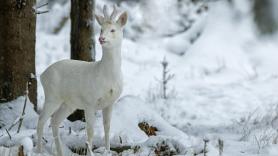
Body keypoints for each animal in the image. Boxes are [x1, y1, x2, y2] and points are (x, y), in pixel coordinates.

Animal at [36, 5, 127, 156]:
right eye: (101, 29)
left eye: (113, 30)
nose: (101, 38)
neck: (107, 76)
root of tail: (42, 75)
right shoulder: (90, 101)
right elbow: (90, 132)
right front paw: (90, 153)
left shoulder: (110, 102)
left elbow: (107, 127)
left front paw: (108, 151)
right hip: (52, 96)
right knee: (41, 120)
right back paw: (39, 151)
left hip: (68, 104)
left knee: (54, 121)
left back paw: (60, 152)